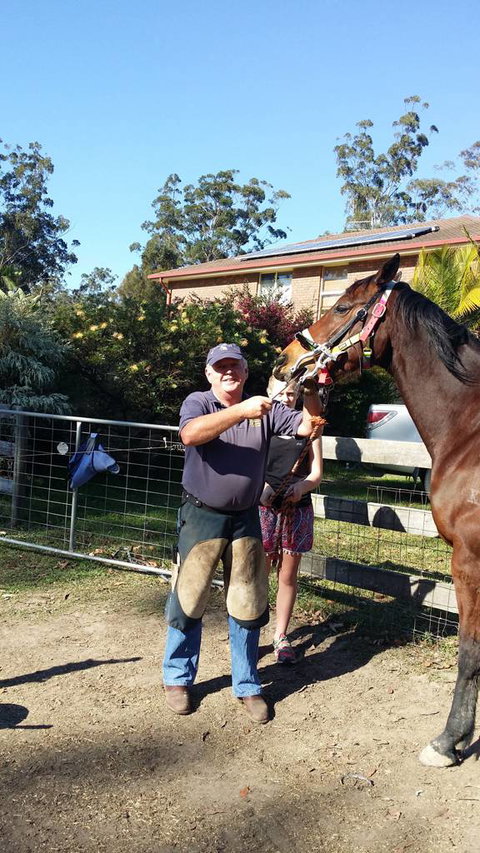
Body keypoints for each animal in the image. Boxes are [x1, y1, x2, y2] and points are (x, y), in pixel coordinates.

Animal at [272, 252, 480, 768]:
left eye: (343, 307)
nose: (285, 359)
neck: (470, 428)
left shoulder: (469, 560)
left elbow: (470, 652)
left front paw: (448, 741)